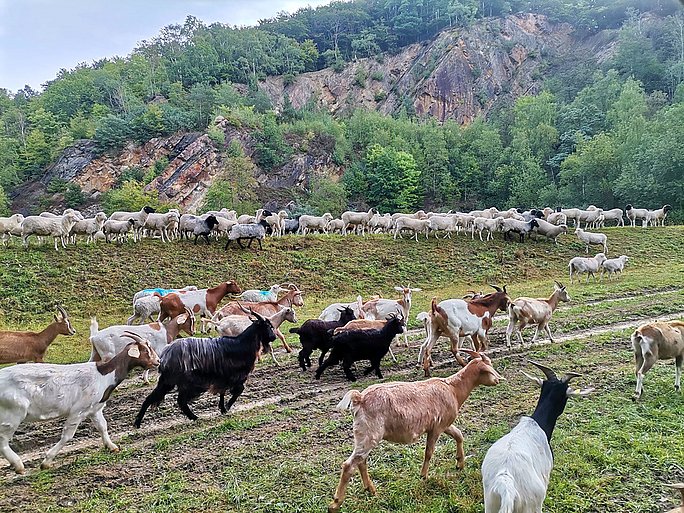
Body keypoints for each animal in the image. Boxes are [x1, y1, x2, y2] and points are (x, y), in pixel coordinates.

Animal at [0, 332, 158, 472]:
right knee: (3, 439)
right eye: (145, 350)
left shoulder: (95, 409)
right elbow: (68, 436)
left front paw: (112, 446)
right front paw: (47, 462)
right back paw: (18, 465)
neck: (103, 374)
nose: (157, 361)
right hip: (13, 412)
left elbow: (103, 426)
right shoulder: (78, 411)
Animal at [133, 310, 276, 426]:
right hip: (183, 382)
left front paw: (222, 408)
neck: (241, 344)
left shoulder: (223, 377)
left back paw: (138, 422)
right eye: (267, 326)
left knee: (156, 398)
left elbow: (223, 392)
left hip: (168, 381)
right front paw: (227, 407)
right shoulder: (235, 376)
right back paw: (193, 417)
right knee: (179, 401)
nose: (273, 337)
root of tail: (165, 355)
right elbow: (238, 390)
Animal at [328, 350, 504, 510]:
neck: (453, 389)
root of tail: (359, 398)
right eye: (489, 366)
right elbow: (429, 452)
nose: (498, 380)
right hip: (369, 433)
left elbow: (458, 435)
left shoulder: (443, 424)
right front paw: (423, 475)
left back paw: (370, 490)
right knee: (349, 465)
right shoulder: (437, 427)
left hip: (364, 435)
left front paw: (460, 463)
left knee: (361, 461)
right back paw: (336, 503)